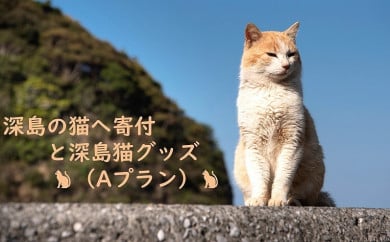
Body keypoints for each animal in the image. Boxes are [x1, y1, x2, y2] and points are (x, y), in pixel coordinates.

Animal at [233, 21, 336, 206]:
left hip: (314, 171)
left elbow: (283, 177)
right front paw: (259, 199)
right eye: (271, 54)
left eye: (291, 54)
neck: (272, 91)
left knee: (304, 197)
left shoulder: (292, 140)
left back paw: (292, 200)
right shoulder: (253, 144)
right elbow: (260, 178)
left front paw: (278, 200)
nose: (286, 65)